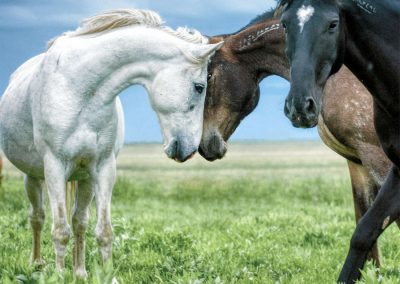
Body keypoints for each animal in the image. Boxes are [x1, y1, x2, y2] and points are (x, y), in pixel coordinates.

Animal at [0, 8, 222, 278]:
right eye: (199, 87)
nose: (189, 150)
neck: (80, 88)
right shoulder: (54, 167)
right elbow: (60, 230)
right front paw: (59, 276)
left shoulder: (103, 168)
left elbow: (103, 231)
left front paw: (103, 274)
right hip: (33, 177)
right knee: (38, 217)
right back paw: (38, 264)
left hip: (84, 179)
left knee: (79, 221)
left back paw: (80, 272)